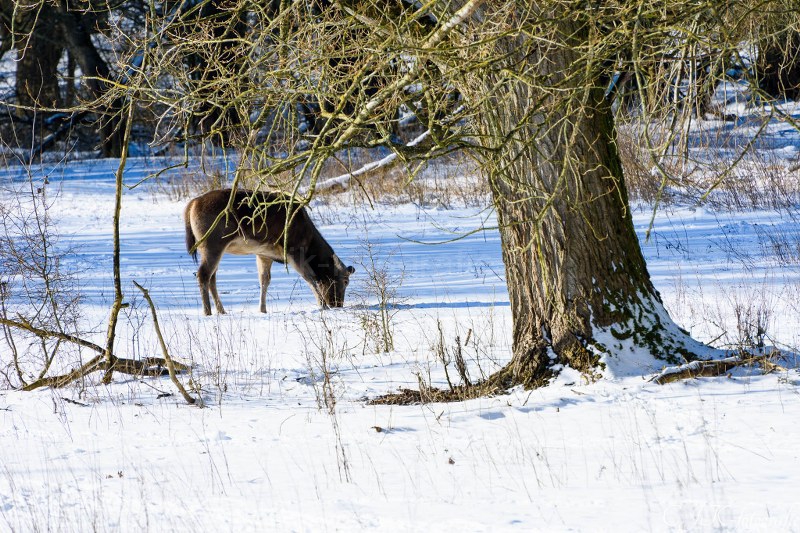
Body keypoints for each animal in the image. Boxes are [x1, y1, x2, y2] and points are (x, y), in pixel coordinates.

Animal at [184, 188, 355, 315]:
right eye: (346, 281)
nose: (338, 304)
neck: (309, 241)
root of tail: (192, 204)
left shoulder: (264, 254)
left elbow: (264, 280)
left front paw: (263, 309)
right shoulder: (293, 250)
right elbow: (310, 277)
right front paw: (322, 305)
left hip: (209, 247)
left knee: (212, 277)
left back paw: (221, 310)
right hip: (212, 243)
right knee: (203, 274)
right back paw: (207, 312)